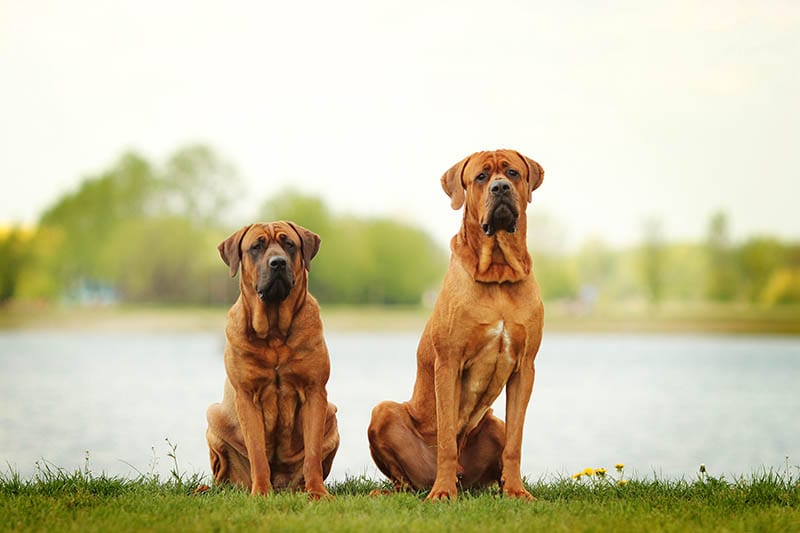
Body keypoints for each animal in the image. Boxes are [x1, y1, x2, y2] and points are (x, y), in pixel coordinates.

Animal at [205, 221, 340, 498]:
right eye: (256, 247)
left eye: (289, 244)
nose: (277, 263)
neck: (275, 332)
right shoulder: (247, 396)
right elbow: (257, 451)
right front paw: (260, 492)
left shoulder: (314, 392)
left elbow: (312, 453)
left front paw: (317, 492)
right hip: (213, 417)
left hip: (331, 416)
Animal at [368, 149, 544, 498]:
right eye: (481, 177)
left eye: (513, 173)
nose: (500, 188)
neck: (498, 272)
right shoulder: (448, 362)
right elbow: (448, 438)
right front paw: (442, 492)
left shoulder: (525, 368)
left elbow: (515, 443)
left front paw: (516, 491)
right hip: (383, 413)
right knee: (404, 479)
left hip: (493, 423)